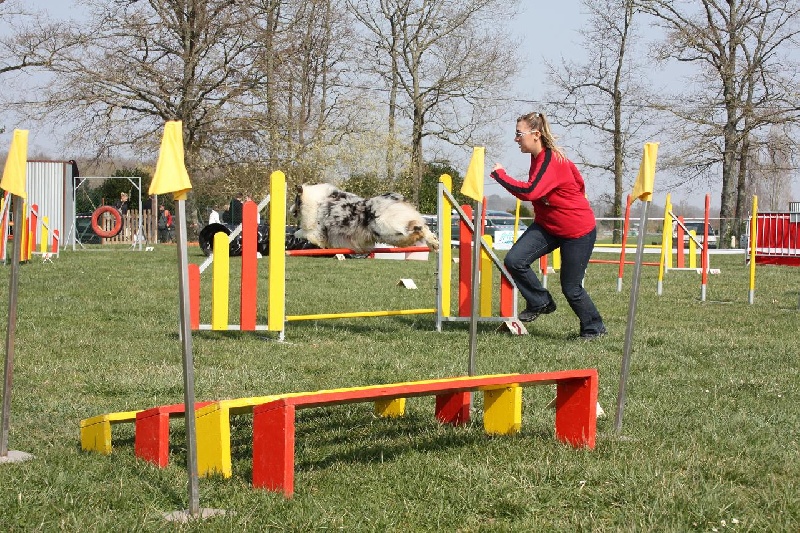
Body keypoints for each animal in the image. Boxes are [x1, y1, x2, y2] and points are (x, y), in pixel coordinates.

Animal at [290, 183, 440, 254]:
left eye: (295, 200)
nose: (290, 210)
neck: (316, 201)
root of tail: (396, 198)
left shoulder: (316, 232)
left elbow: (300, 232)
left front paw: (294, 237)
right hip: (395, 236)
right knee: (422, 226)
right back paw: (434, 243)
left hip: (389, 229)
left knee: (417, 228)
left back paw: (432, 242)